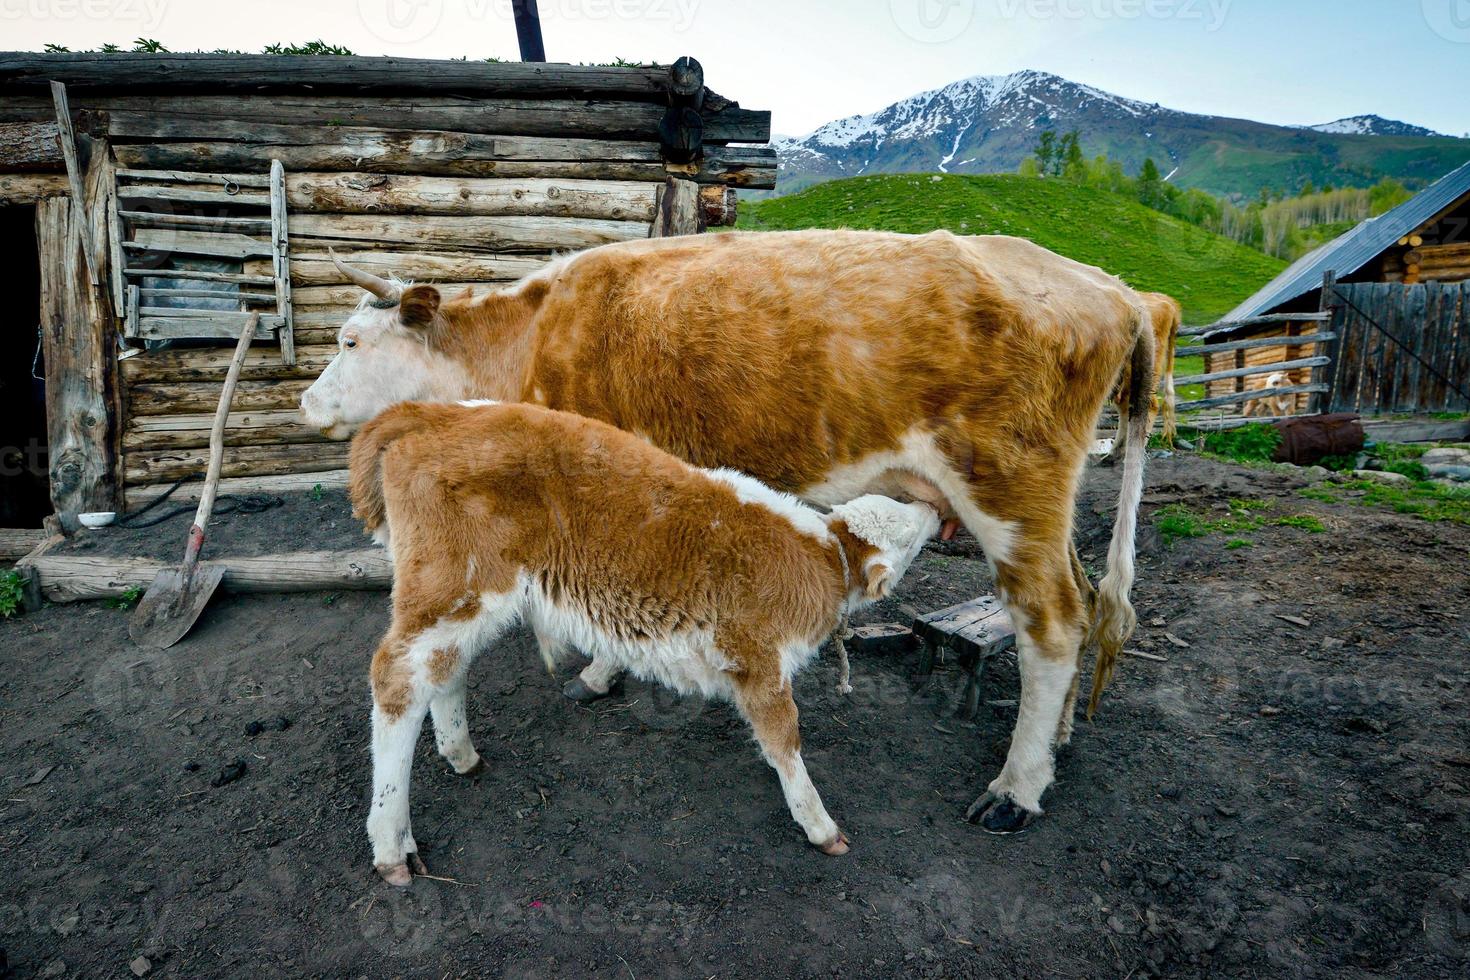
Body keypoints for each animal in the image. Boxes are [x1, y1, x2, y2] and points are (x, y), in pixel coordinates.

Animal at [298, 230, 1152, 834]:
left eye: (349, 341)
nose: (304, 404)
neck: (535, 333)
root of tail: (1110, 287)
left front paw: (601, 669)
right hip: (1045, 506)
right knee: (1080, 604)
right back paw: (1057, 740)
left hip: (1010, 493)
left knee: (1052, 622)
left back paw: (1016, 787)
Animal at [349, 402, 934, 887]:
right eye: (909, 529)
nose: (933, 507)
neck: (824, 556)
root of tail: (433, 411)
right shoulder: (757, 659)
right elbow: (783, 740)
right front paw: (820, 825)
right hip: (452, 586)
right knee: (396, 677)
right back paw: (391, 845)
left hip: (466, 600)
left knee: (445, 668)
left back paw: (461, 754)